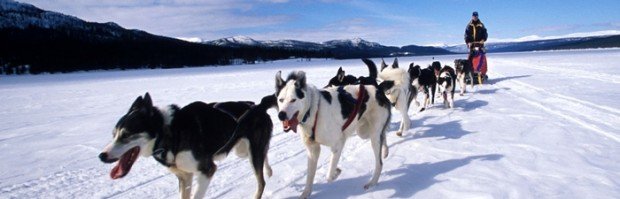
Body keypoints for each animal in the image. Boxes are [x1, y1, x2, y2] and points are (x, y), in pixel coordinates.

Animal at [98, 93, 274, 199]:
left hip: (251, 152)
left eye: (126, 134)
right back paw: (269, 170)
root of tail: (258, 106)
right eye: (113, 134)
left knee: (261, 182)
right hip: (243, 151)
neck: (171, 132)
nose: (102, 156)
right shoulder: (185, 176)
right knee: (264, 154)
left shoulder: (207, 170)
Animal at [274, 70, 390, 198]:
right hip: (364, 132)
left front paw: (336, 172)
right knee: (383, 135)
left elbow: (329, 175)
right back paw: (385, 151)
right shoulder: (312, 150)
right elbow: (310, 176)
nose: (281, 115)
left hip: (373, 136)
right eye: (281, 100)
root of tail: (378, 89)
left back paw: (372, 182)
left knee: (379, 163)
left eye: (293, 100)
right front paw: (305, 193)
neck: (314, 110)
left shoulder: (338, 144)